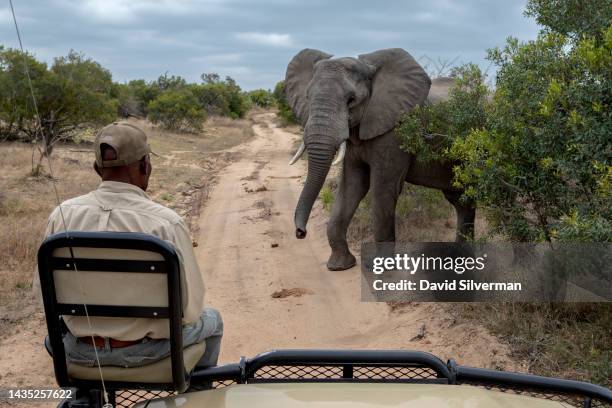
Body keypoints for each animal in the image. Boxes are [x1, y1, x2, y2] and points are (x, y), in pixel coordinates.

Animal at [284, 47, 476, 270]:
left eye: (351, 100)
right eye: (308, 97)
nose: (300, 233)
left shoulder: (394, 132)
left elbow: (383, 189)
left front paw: (382, 269)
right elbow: (352, 185)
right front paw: (340, 266)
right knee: (461, 201)